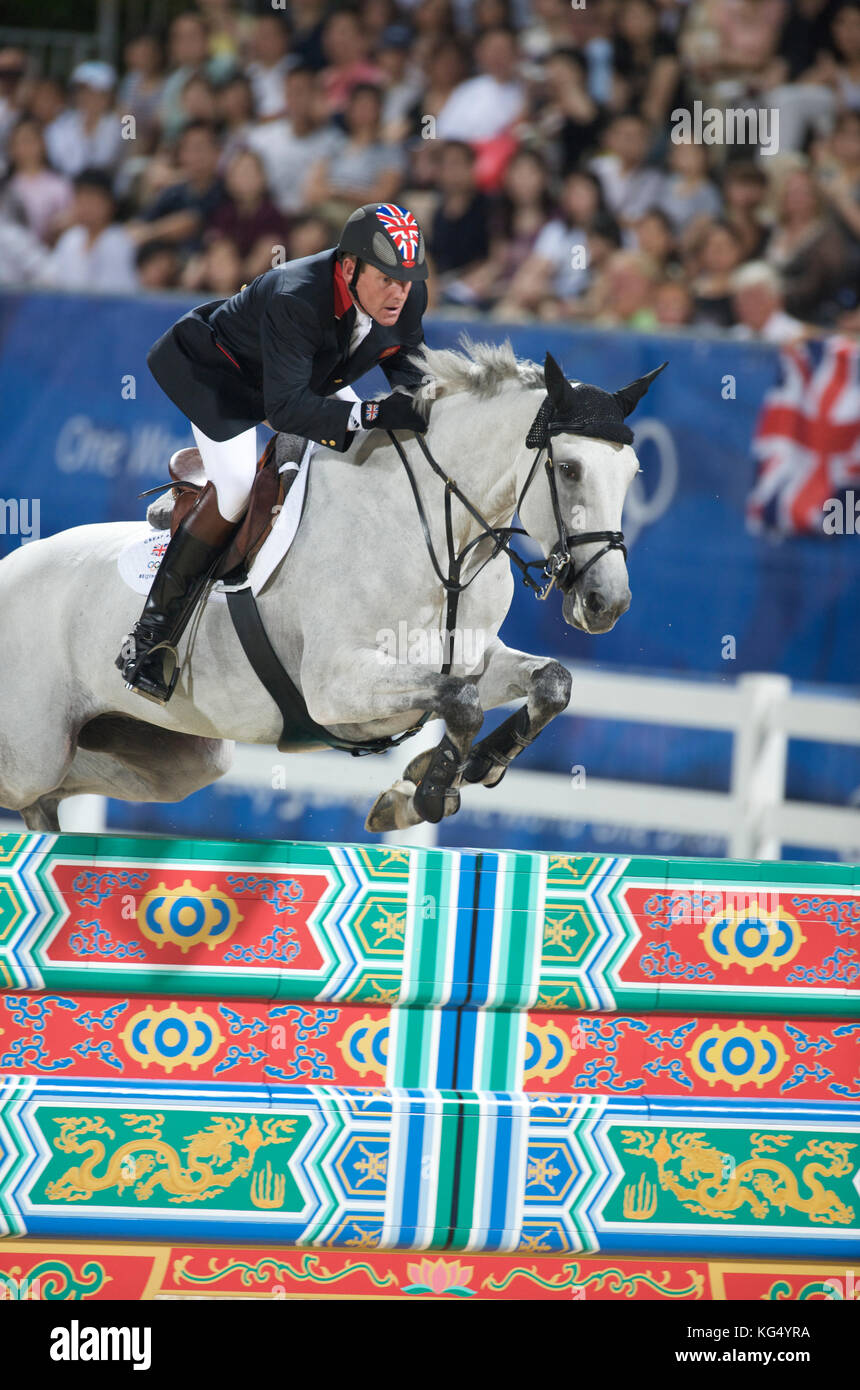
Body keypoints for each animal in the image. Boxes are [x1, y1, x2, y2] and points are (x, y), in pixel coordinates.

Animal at [0, 340, 666, 828]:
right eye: (568, 468)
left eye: (634, 472)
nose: (607, 604)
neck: (438, 536)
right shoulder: (337, 686)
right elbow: (460, 702)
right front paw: (425, 790)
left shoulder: (473, 658)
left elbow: (549, 684)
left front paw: (452, 775)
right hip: (32, 751)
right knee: (32, 787)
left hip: (172, 759)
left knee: (54, 794)